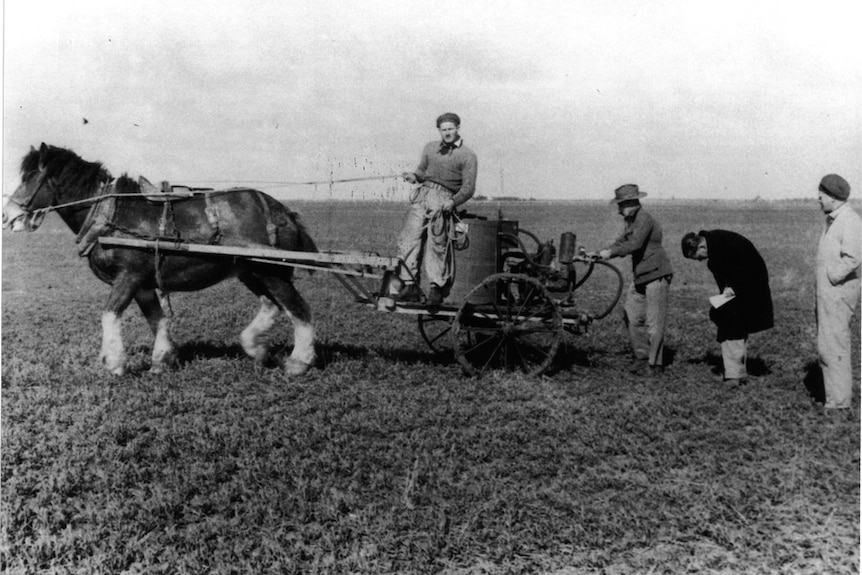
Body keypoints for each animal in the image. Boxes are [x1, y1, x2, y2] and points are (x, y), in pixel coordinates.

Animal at [1, 145, 318, 378]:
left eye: (29, 177)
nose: (7, 216)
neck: (110, 212)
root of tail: (283, 210)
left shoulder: (127, 276)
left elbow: (109, 314)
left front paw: (115, 363)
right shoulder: (143, 283)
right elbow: (158, 318)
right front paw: (162, 359)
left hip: (270, 271)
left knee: (298, 309)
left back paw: (299, 362)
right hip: (251, 271)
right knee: (272, 304)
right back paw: (255, 349)